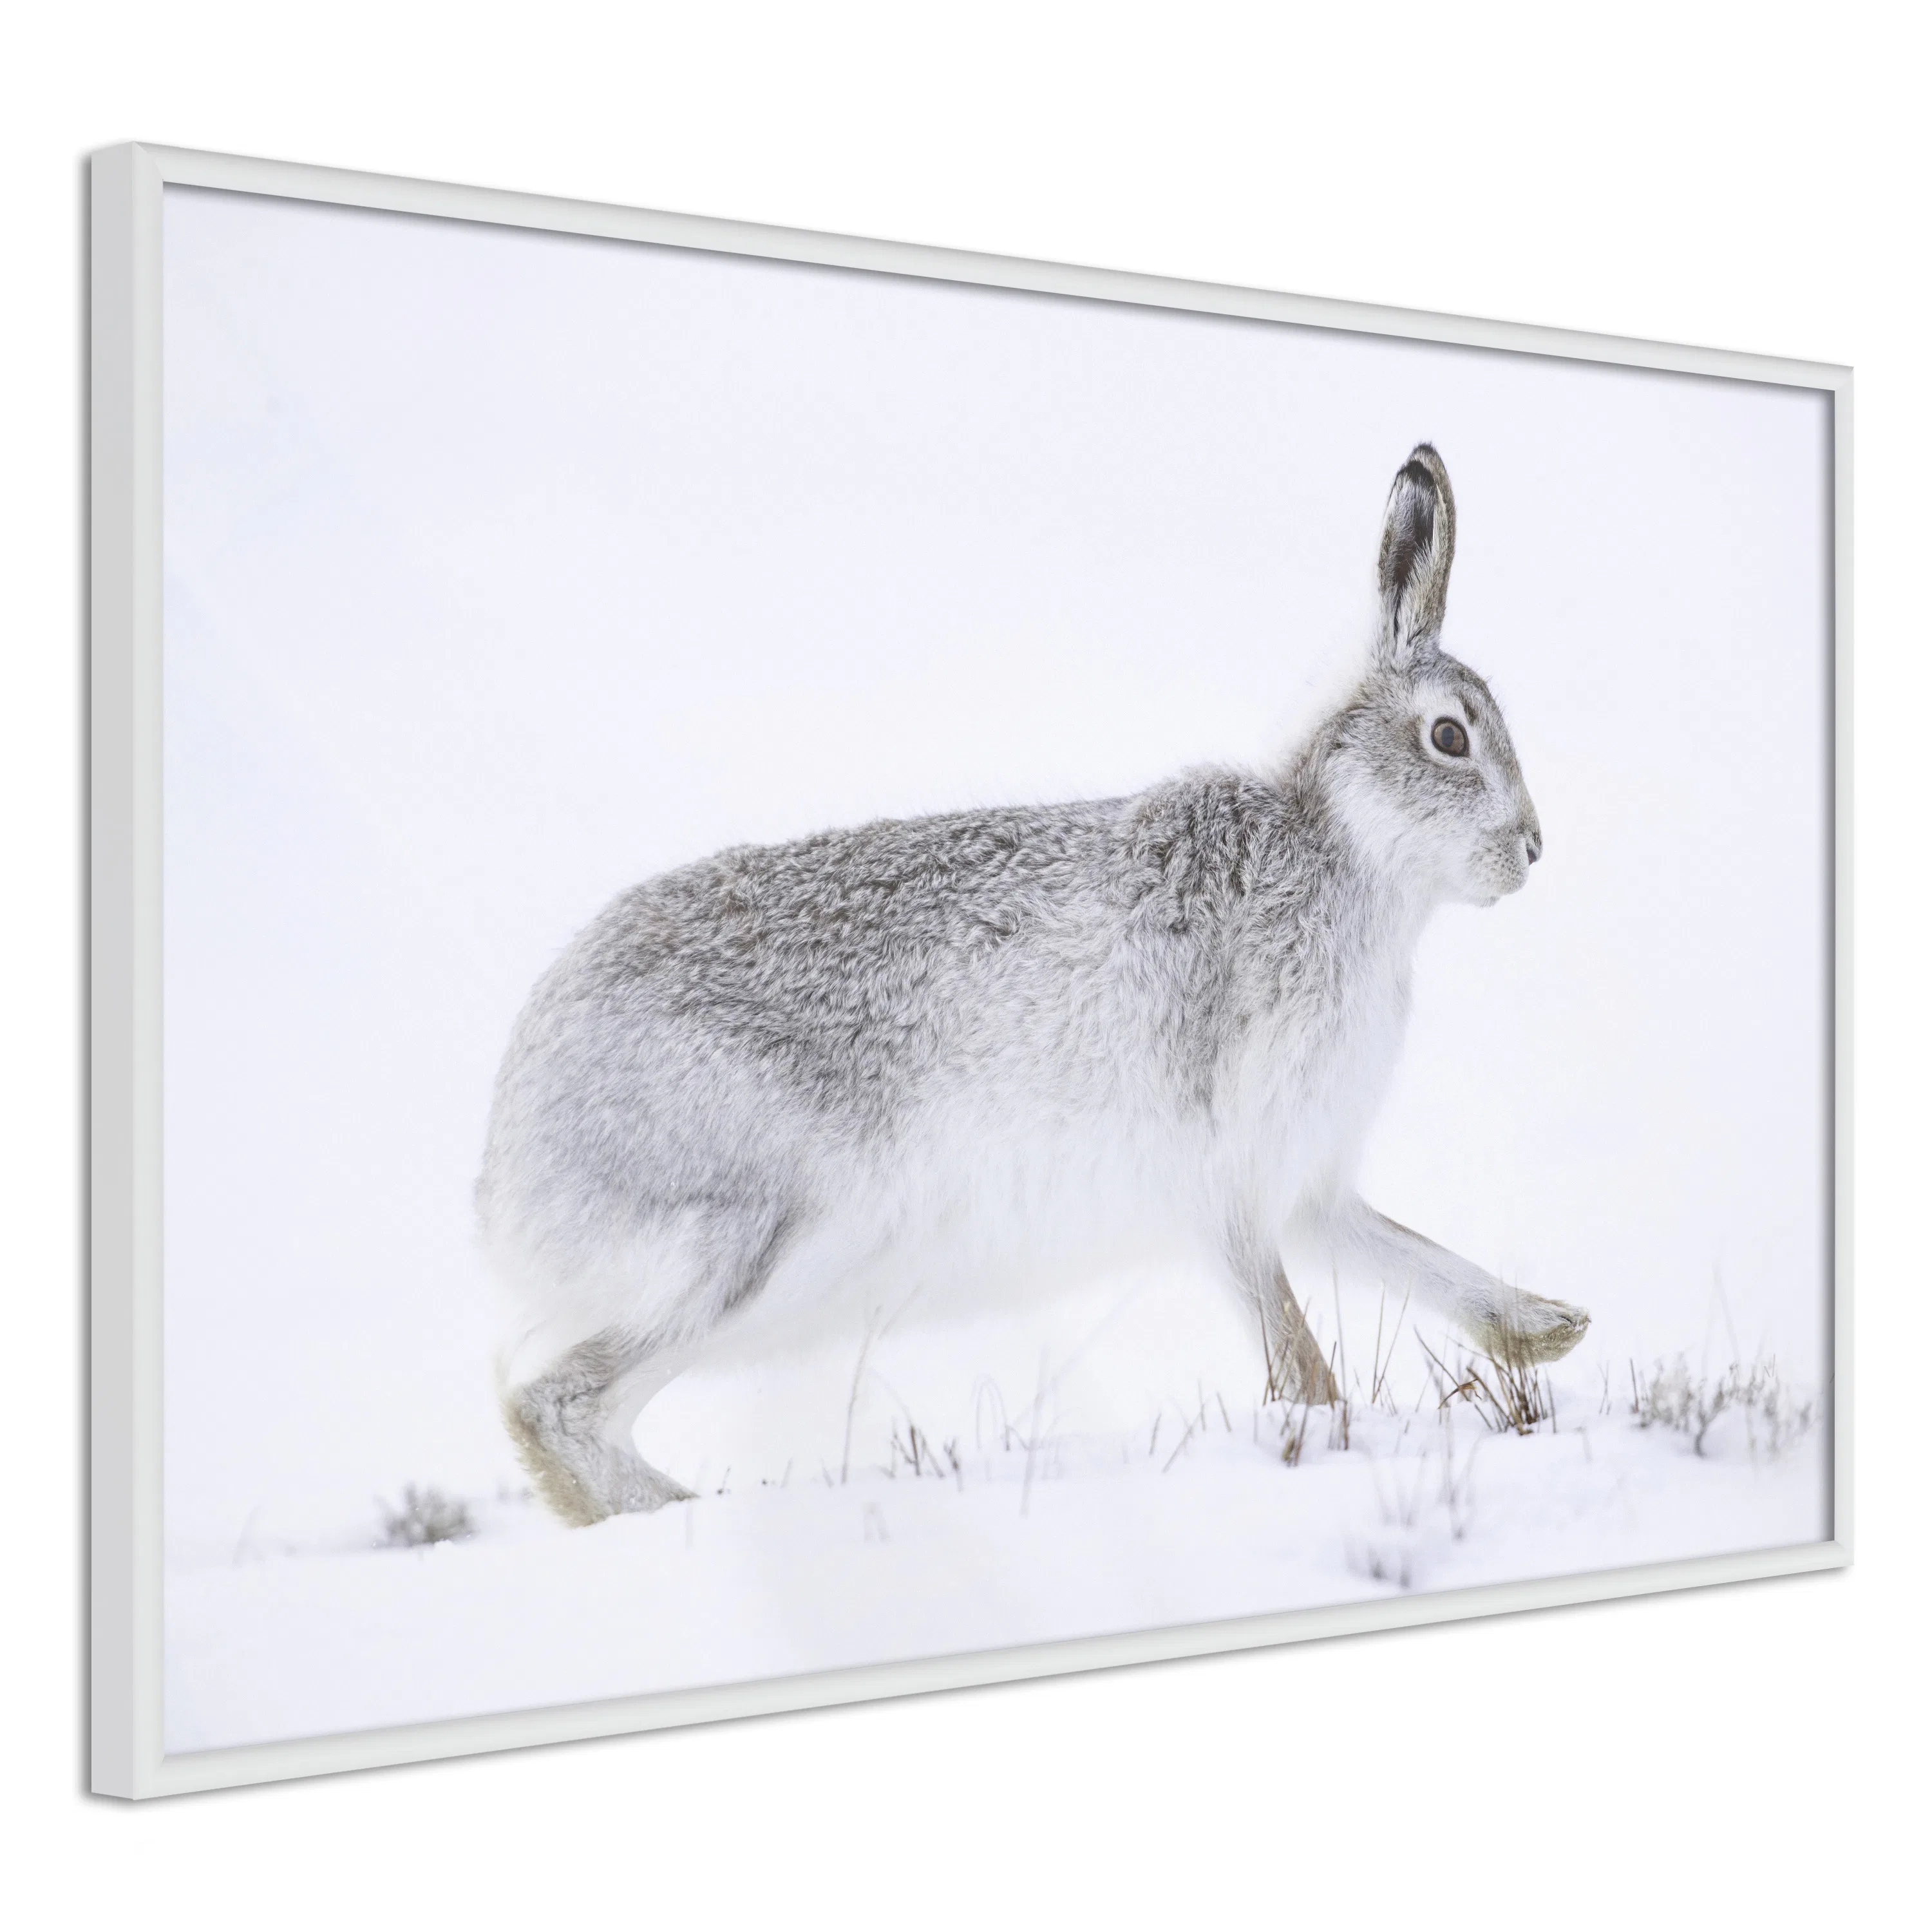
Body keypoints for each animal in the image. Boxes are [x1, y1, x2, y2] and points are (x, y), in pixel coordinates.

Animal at [478, 443, 1588, 1527]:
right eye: (1450, 737)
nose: (1534, 849)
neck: (1346, 852)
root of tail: (508, 1164)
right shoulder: (1225, 1176)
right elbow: (1294, 1349)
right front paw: (1330, 1435)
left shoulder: (1309, 1184)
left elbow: (1411, 1255)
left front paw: (1550, 1328)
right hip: (757, 1242)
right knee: (553, 1406)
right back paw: (689, 1514)